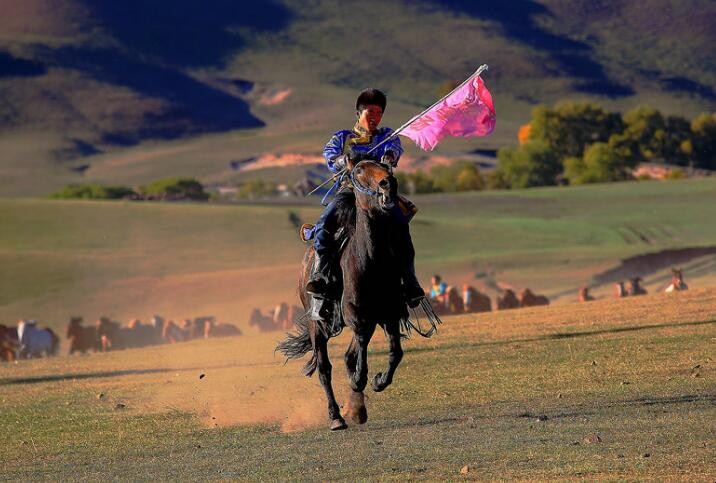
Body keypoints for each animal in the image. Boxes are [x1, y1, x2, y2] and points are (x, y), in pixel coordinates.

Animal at [276, 160, 440, 432]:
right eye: (359, 171)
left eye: (385, 165)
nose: (388, 183)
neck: (371, 261)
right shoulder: (358, 317)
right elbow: (358, 357)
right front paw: (358, 382)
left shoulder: (388, 316)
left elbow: (395, 353)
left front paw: (378, 382)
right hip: (317, 325)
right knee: (324, 368)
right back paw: (336, 417)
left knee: (347, 356)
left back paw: (356, 409)